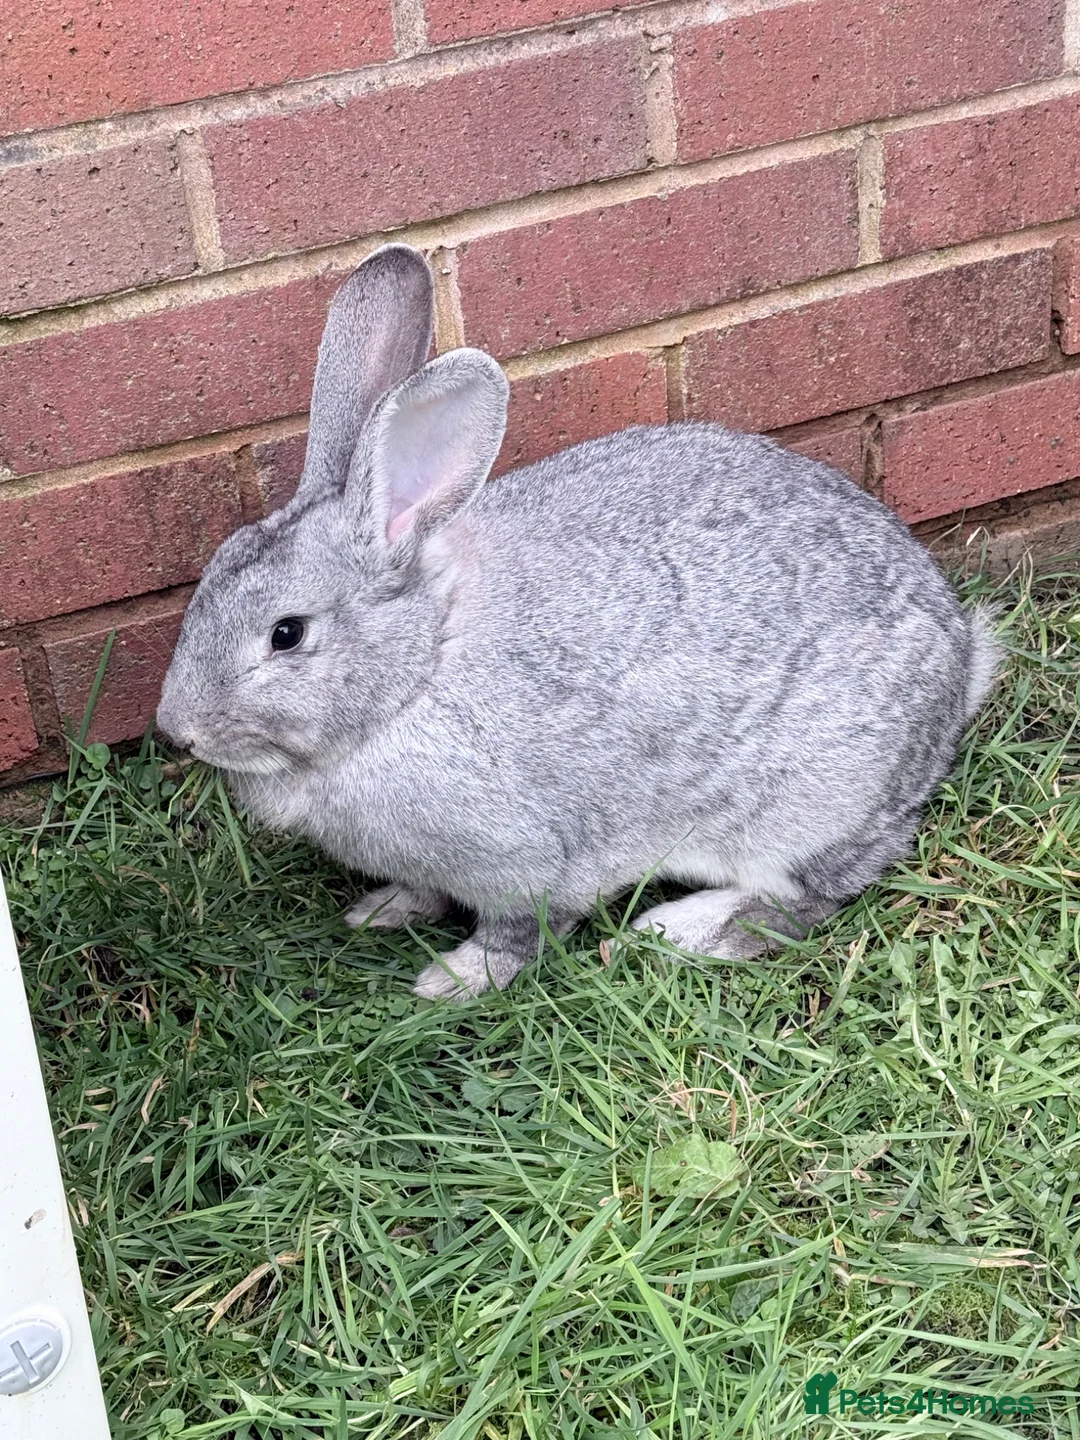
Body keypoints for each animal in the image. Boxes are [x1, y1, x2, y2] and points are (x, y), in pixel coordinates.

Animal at [157, 243, 999, 1002]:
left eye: (287, 633)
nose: (176, 731)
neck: (419, 669)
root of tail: (960, 665)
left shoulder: (526, 859)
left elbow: (522, 931)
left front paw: (452, 981)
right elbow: (423, 891)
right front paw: (384, 910)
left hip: (810, 805)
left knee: (810, 894)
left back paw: (681, 930)